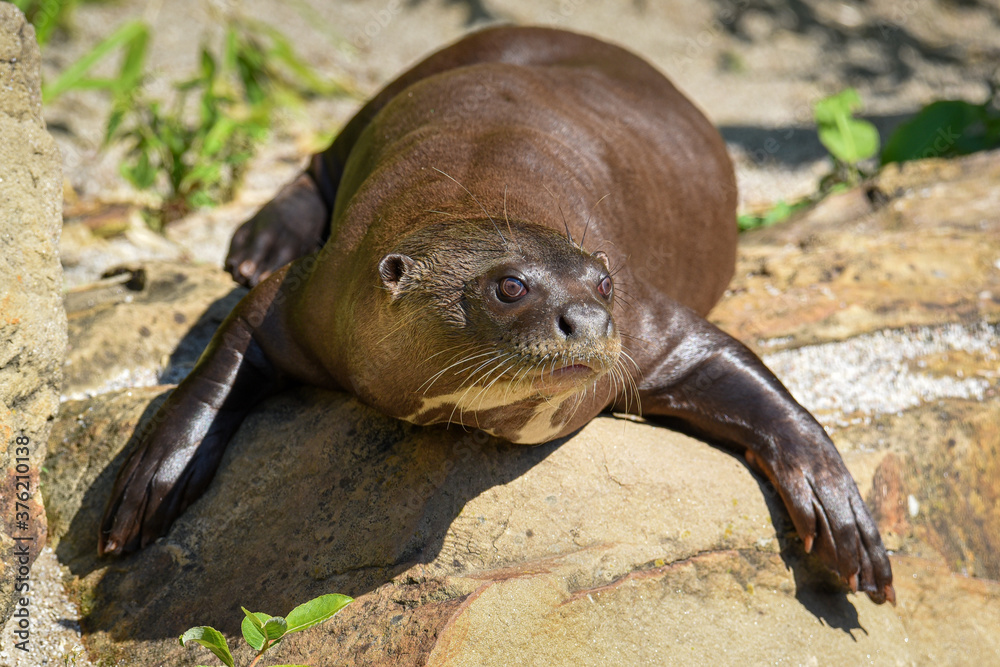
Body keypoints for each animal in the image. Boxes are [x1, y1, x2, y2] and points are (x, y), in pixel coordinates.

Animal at [100, 26, 894, 604]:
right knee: (318, 158)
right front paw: (156, 477)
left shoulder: (651, 326)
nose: (587, 321)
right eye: (510, 286)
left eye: (604, 283)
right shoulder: (311, 293)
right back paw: (261, 239)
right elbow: (222, 359)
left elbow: (756, 381)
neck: (483, 178)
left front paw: (840, 512)